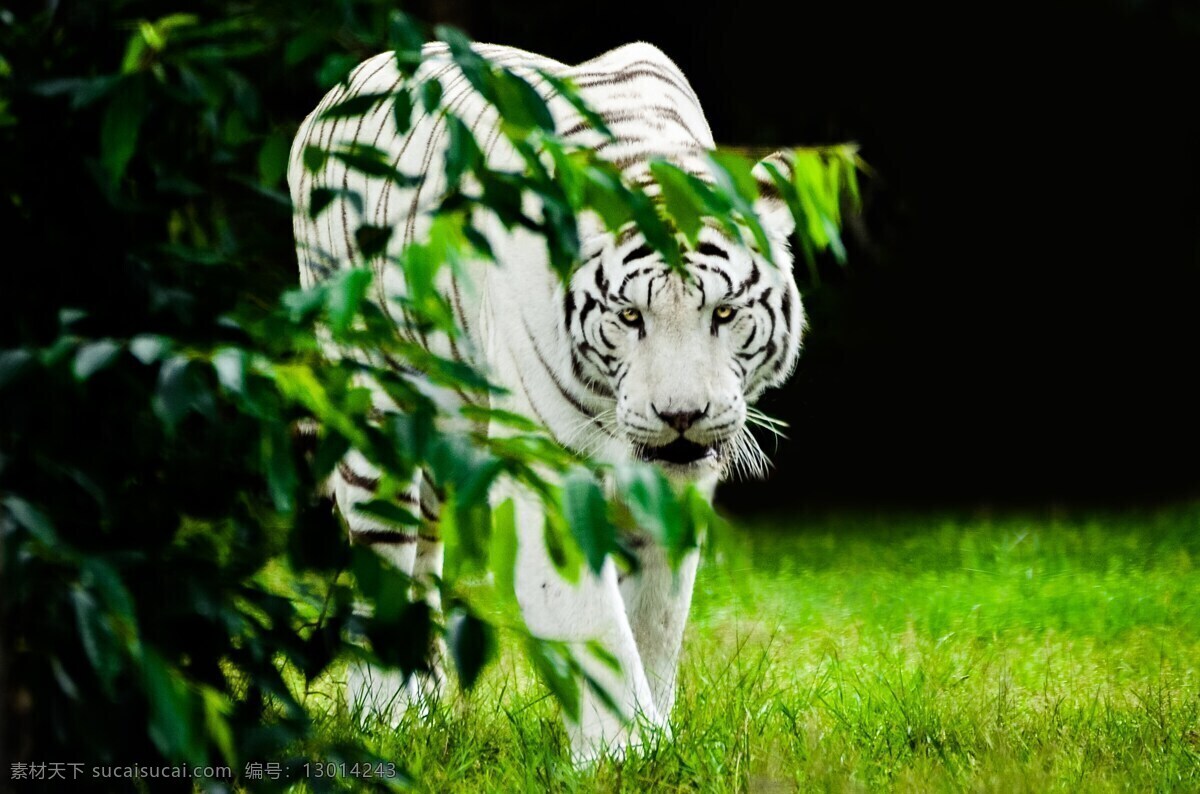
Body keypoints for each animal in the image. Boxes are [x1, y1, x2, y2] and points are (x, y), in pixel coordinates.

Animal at [285, 40, 801, 762]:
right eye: (630, 316)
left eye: (723, 313)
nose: (680, 417)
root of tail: (345, 83)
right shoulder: (549, 474)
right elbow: (593, 622)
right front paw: (623, 754)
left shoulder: (676, 488)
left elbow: (657, 617)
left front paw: (655, 741)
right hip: (374, 407)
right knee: (381, 552)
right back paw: (380, 719)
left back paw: (424, 717)